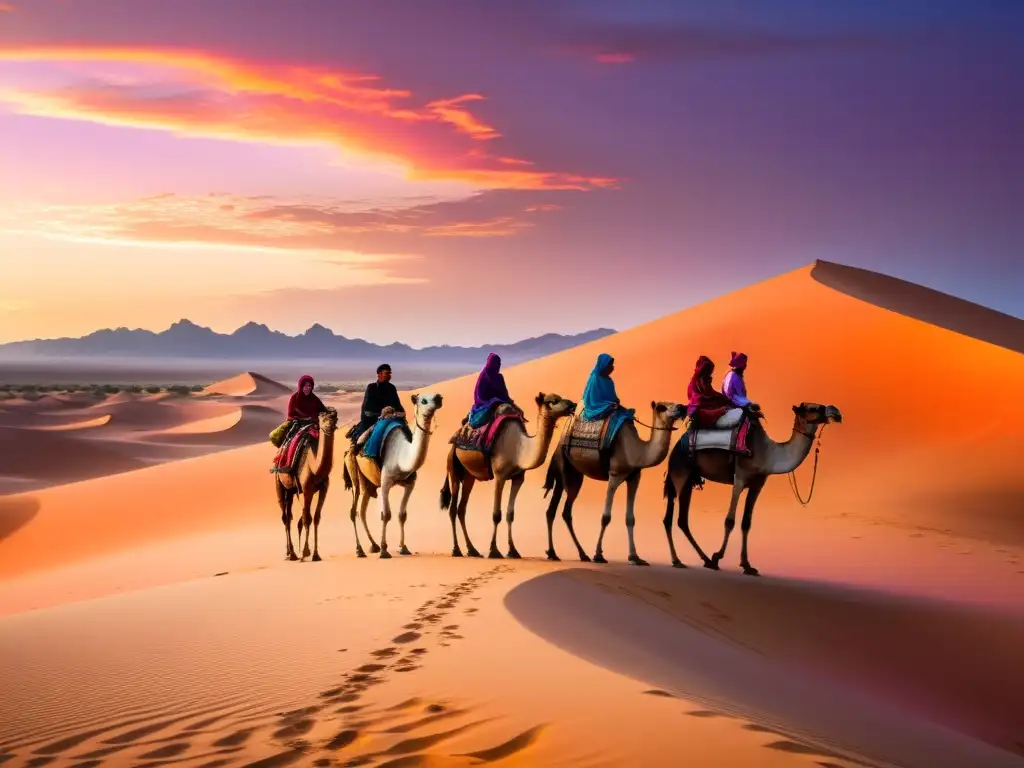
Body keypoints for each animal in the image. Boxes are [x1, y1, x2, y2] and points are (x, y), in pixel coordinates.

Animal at [272, 405, 339, 561]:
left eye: (335, 418)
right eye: (322, 418)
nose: (329, 426)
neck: (314, 467)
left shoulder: (324, 489)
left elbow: (316, 518)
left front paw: (316, 554)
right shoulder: (307, 490)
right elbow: (307, 518)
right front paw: (306, 551)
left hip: (291, 491)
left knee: (289, 515)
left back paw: (292, 552)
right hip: (279, 484)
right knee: (285, 517)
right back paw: (290, 553)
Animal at [342, 397, 442, 561]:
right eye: (423, 400)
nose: (438, 399)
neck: (401, 455)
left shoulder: (410, 484)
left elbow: (402, 515)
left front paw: (403, 547)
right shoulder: (385, 483)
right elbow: (386, 514)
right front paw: (384, 550)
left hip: (368, 484)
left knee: (362, 511)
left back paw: (373, 545)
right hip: (353, 471)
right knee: (353, 511)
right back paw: (360, 549)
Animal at [438, 393, 577, 561]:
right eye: (553, 401)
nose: (573, 405)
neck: (520, 448)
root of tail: (454, 443)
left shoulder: (518, 478)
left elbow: (510, 514)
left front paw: (513, 551)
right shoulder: (500, 476)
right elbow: (496, 514)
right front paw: (494, 551)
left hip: (469, 475)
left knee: (461, 509)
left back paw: (473, 550)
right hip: (453, 469)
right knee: (452, 509)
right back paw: (456, 550)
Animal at [540, 403, 684, 565]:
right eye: (662, 407)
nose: (681, 407)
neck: (636, 451)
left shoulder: (634, 478)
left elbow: (630, 518)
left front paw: (635, 557)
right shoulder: (614, 475)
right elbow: (605, 517)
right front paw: (598, 555)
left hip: (572, 475)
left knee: (560, 511)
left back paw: (572, 554)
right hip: (565, 468)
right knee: (558, 509)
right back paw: (559, 553)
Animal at [659, 405, 843, 573]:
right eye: (813, 408)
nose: (836, 412)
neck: (768, 453)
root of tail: (674, 450)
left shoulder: (757, 484)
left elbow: (746, 523)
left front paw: (747, 565)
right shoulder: (740, 477)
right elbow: (730, 520)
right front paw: (717, 557)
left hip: (683, 479)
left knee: (671, 519)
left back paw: (684, 560)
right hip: (681, 474)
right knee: (679, 519)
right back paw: (701, 560)